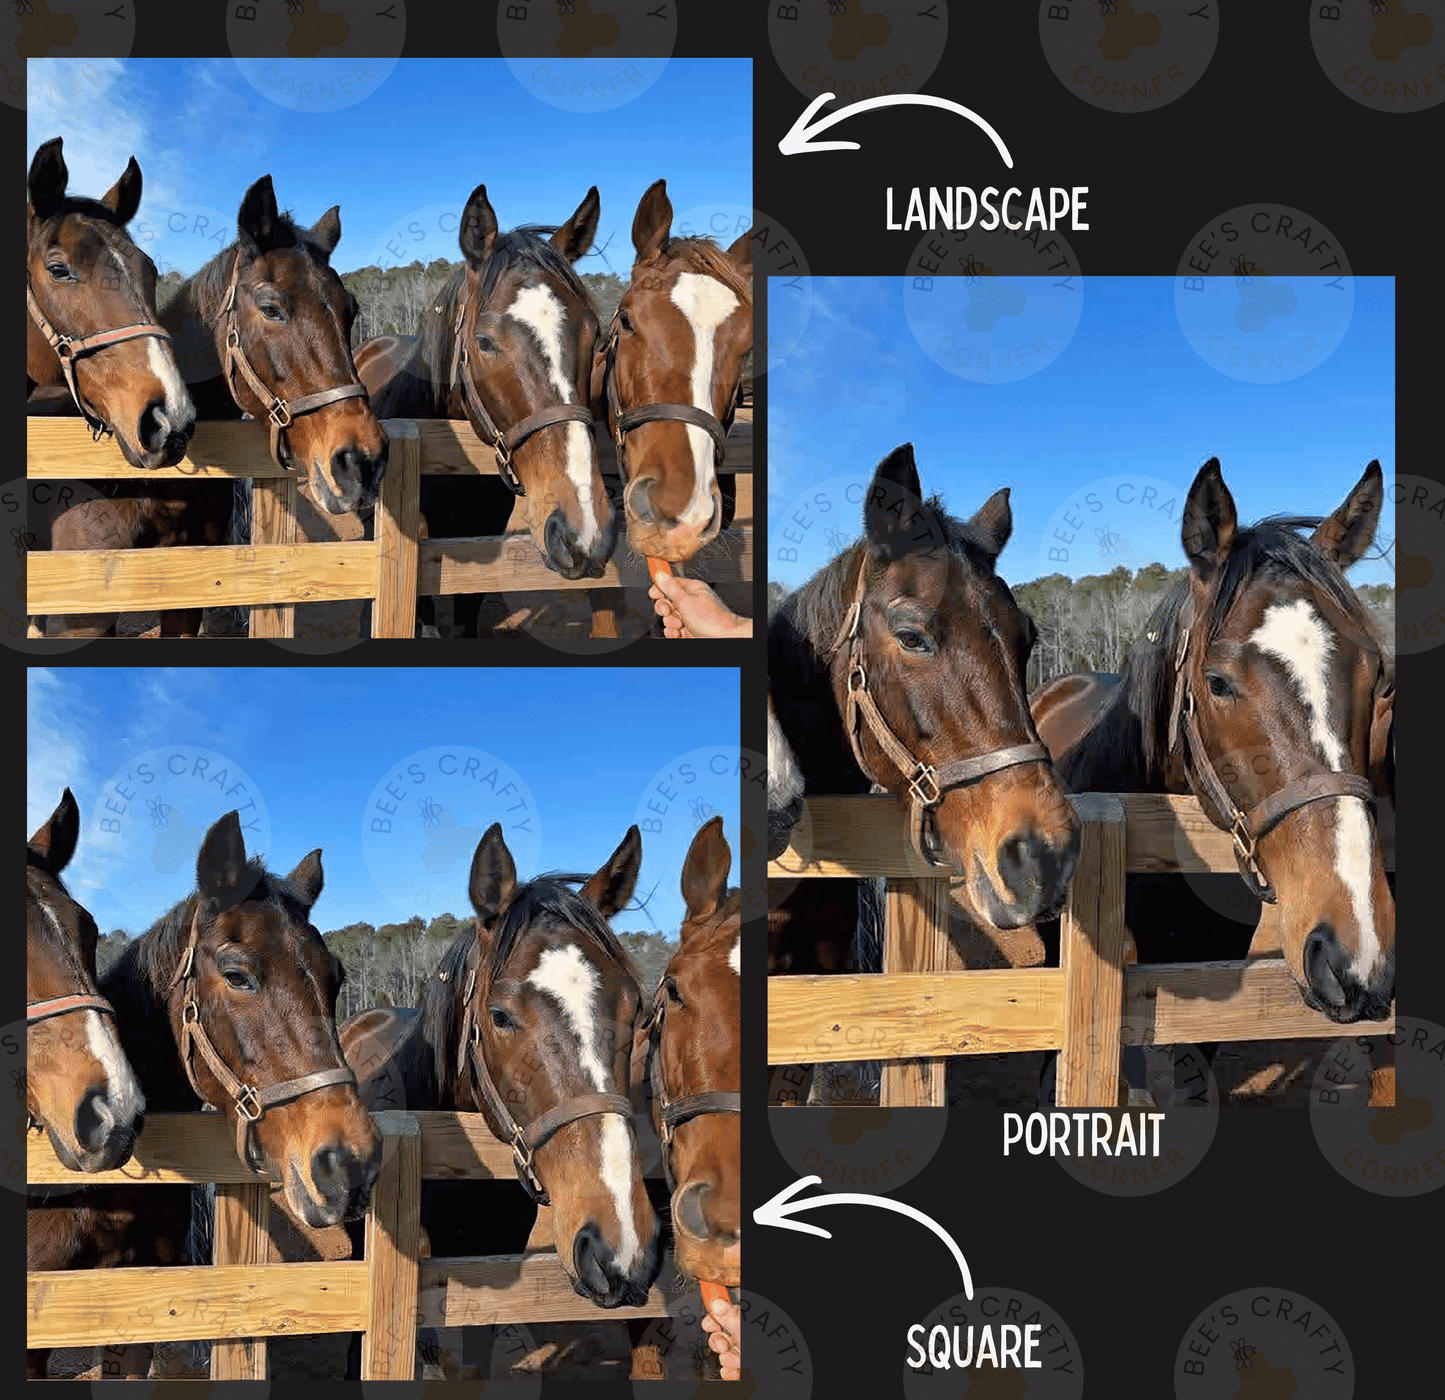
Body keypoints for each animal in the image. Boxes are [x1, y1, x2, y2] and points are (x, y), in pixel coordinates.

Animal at [46, 174, 388, 638]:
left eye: (351, 310)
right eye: (271, 309)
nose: (363, 462)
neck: (155, 484)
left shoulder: (190, 591)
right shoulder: (84, 614)